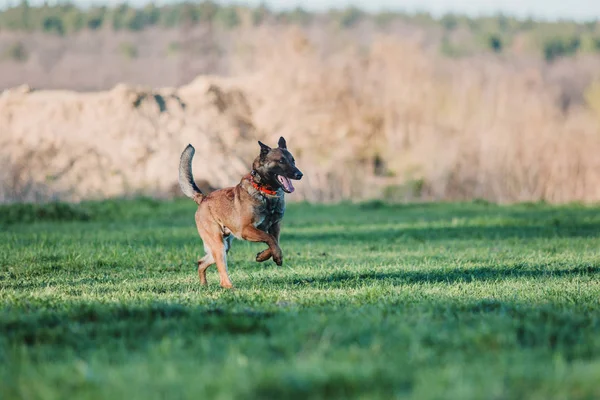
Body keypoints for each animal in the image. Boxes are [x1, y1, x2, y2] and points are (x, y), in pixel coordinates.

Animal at [177, 138, 300, 288]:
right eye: (281, 161)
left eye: (293, 161)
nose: (299, 174)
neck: (264, 192)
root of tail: (203, 198)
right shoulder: (246, 229)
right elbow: (269, 238)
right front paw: (276, 256)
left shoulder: (275, 226)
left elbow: (274, 242)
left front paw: (264, 256)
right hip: (218, 245)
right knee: (222, 274)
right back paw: (230, 287)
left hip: (224, 246)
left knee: (201, 263)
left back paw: (204, 285)